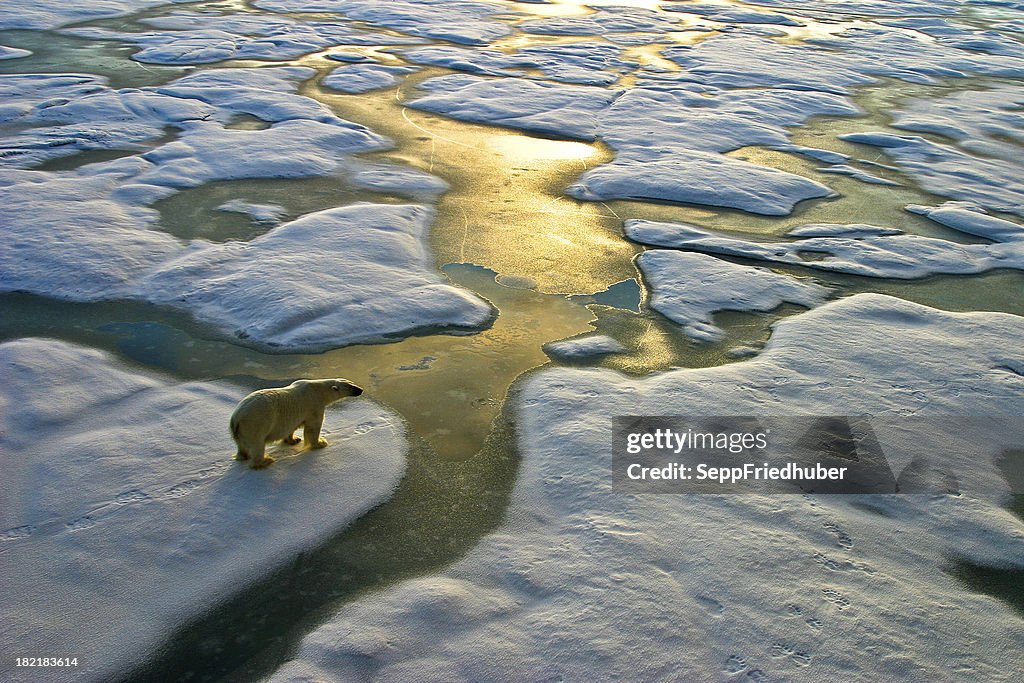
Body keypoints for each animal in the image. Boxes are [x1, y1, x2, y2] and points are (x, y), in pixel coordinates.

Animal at [232, 378, 364, 471]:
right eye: (350, 387)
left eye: (352, 382)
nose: (361, 389)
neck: (318, 390)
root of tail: (236, 418)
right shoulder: (314, 405)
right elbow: (313, 427)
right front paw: (320, 443)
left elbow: (292, 427)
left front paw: (294, 440)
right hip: (256, 424)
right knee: (257, 445)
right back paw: (265, 461)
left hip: (240, 431)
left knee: (241, 445)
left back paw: (243, 456)